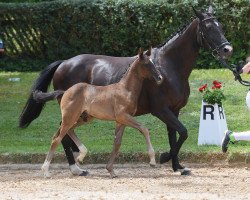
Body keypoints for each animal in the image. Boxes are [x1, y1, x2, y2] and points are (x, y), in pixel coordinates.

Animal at [33, 47, 164, 177]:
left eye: (152, 63)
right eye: (146, 64)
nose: (160, 78)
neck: (126, 89)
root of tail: (65, 91)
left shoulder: (120, 121)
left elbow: (117, 143)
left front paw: (111, 170)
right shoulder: (123, 116)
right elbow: (144, 129)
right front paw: (152, 161)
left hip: (83, 118)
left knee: (66, 132)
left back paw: (81, 156)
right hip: (70, 117)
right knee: (57, 139)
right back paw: (46, 171)